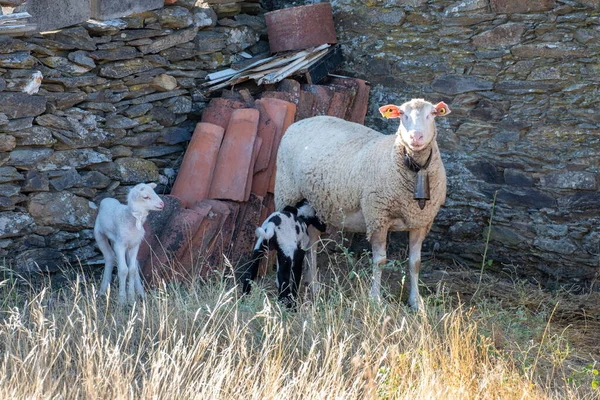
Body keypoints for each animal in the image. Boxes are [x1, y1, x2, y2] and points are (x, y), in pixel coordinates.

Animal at [274, 97, 450, 310]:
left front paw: (416, 302)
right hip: (285, 193)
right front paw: (375, 299)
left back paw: (314, 286)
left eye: (432, 114)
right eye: (401, 114)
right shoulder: (377, 216)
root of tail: (300, 122)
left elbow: (415, 263)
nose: (415, 137)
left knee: (312, 242)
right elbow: (380, 261)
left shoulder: (420, 221)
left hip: (316, 205)